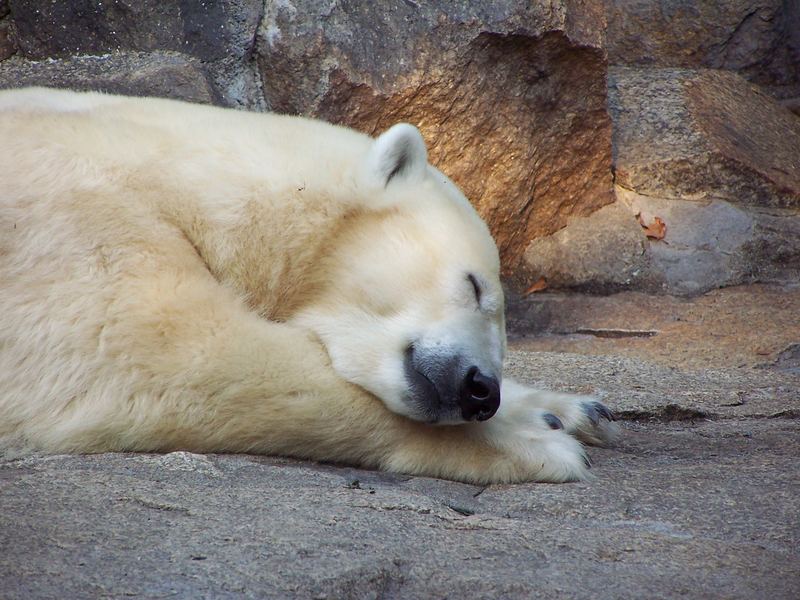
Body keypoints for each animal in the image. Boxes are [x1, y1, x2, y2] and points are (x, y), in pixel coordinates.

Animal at [0, 88, 620, 482]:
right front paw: (540, 444)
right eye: (473, 285)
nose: (480, 390)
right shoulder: (73, 216)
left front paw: (570, 410)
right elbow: (161, 351)